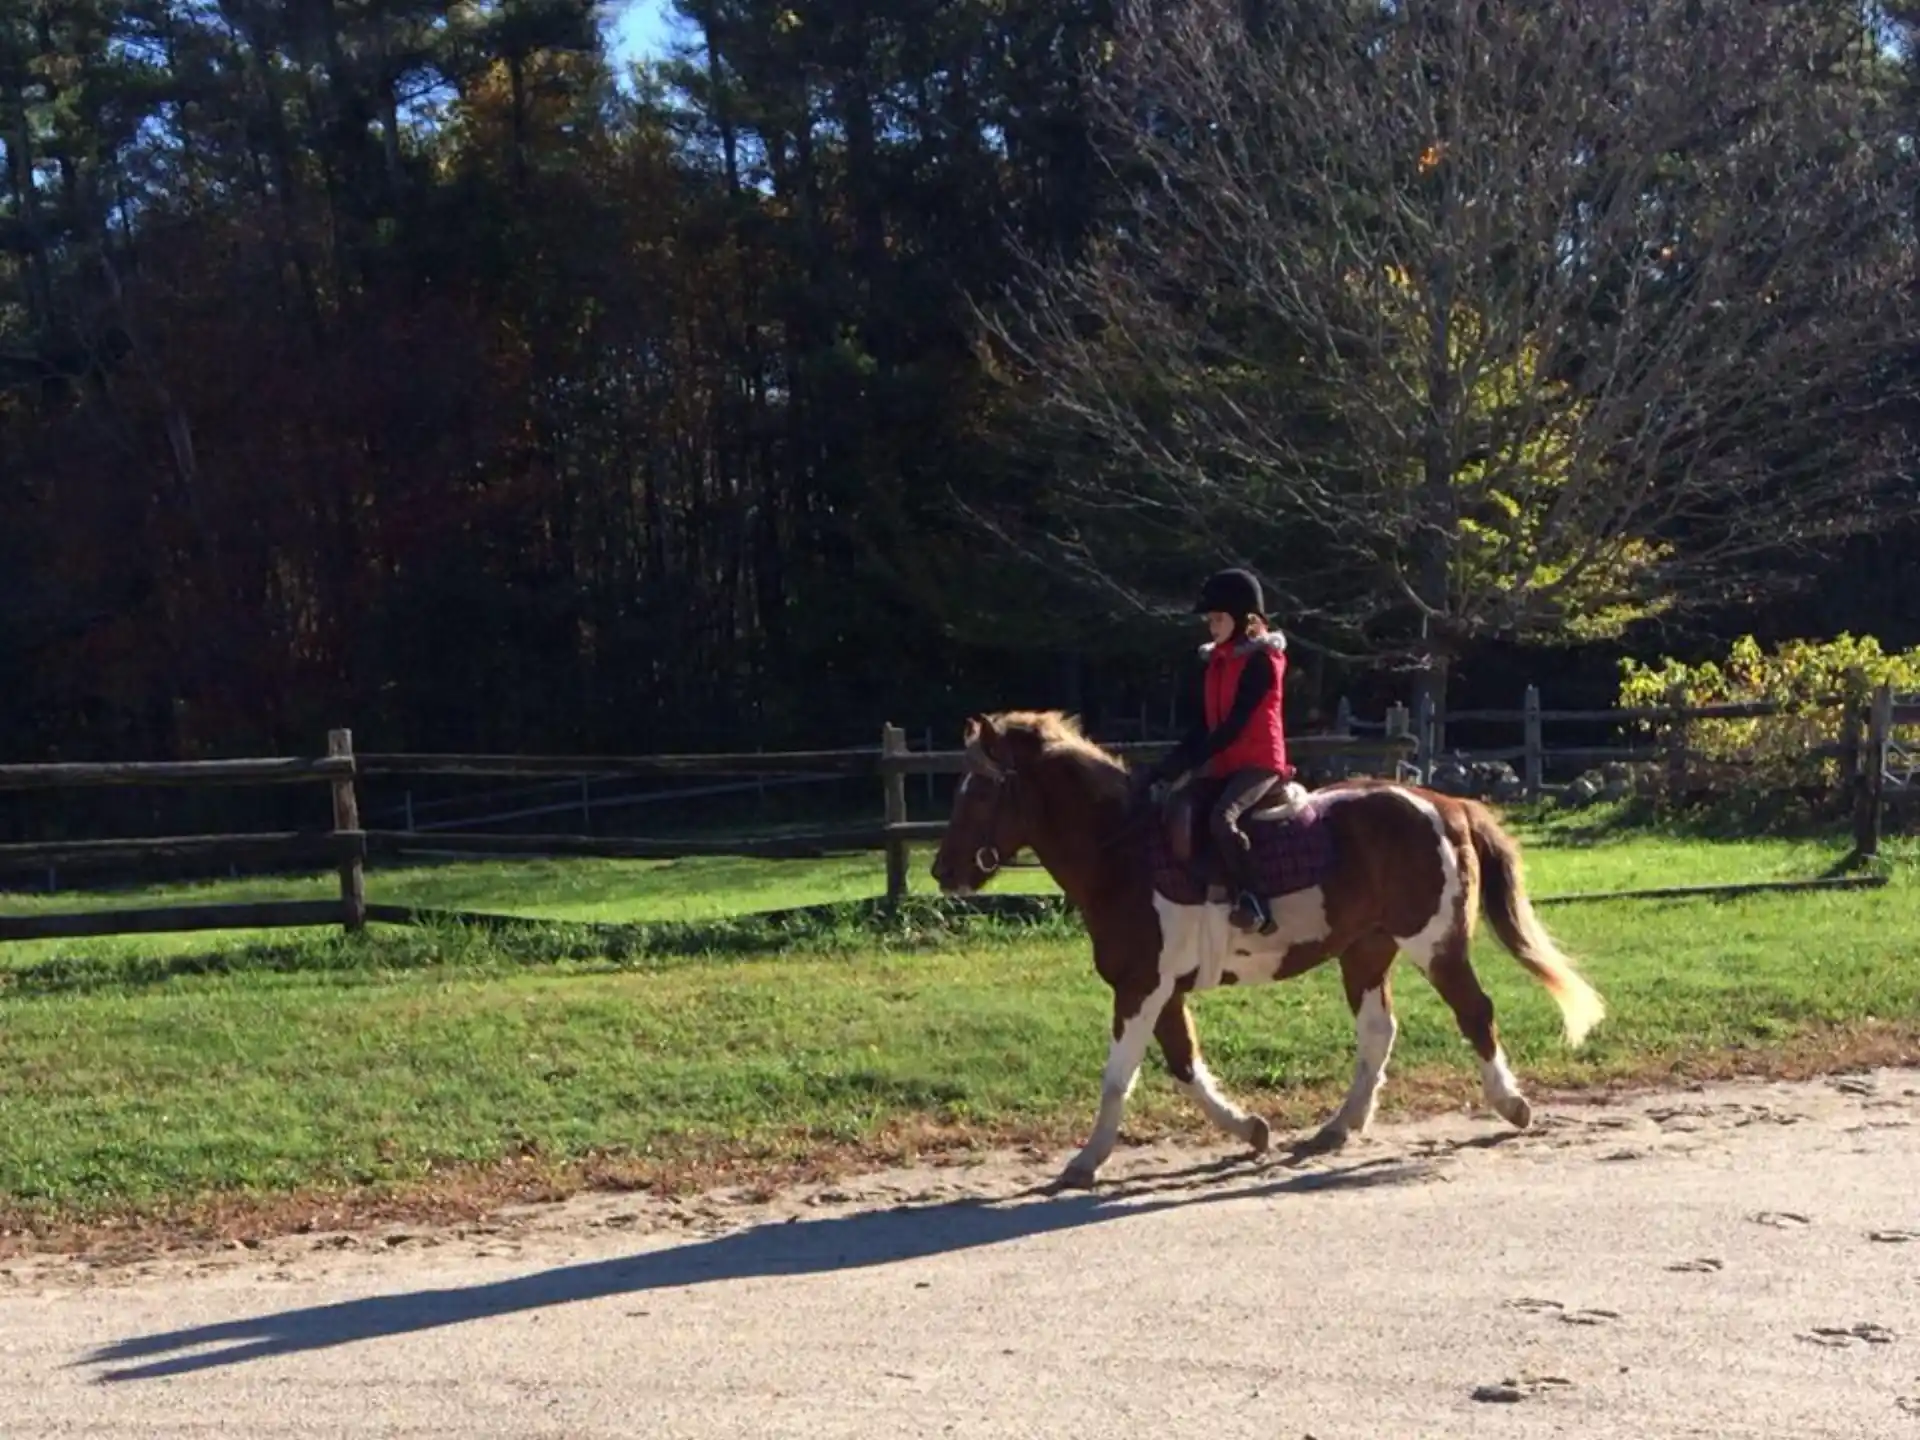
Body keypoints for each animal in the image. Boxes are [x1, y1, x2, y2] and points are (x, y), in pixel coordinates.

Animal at [928, 709, 1606, 1189]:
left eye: (980, 791)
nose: (942, 871)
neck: (1124, 853)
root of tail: (1446, 803)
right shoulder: (1159, 989)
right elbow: (1183, 1064)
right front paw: (1250, 1129)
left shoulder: (1141, 987)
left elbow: (1120, 1074)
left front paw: (1086, 1161)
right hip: (1365, 951)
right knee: (1378, 1032)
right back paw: (1338, 1127)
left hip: (1434, 943)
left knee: (1474, 1012)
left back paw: (1511, 1105)